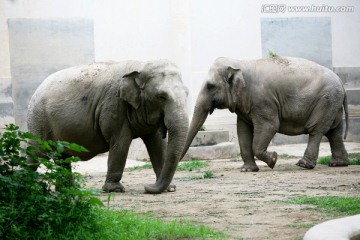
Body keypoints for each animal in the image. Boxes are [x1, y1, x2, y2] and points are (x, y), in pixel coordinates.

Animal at [27, 59, 190, 193]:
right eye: (161, 97)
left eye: (187, 94)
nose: (146, 186)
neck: (139, 66)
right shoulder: (114, 105)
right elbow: (121, 142)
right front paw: (115, 190)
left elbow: (157, 145)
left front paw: (170, 188)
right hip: (38, 121)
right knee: (36, 153)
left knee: (62, 157)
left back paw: (67, 189)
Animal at [181, 56, 348, 172]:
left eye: (210, 86)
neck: (240, 63)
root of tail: (340, 81)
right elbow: (243, 131)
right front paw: (247, 170)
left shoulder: (263, 101)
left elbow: (270, 126)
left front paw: (273, 159)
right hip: (333, 103)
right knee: (334, 132)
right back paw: (338, 164)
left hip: (325, 101)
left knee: (317, 130)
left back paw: (303, 165)